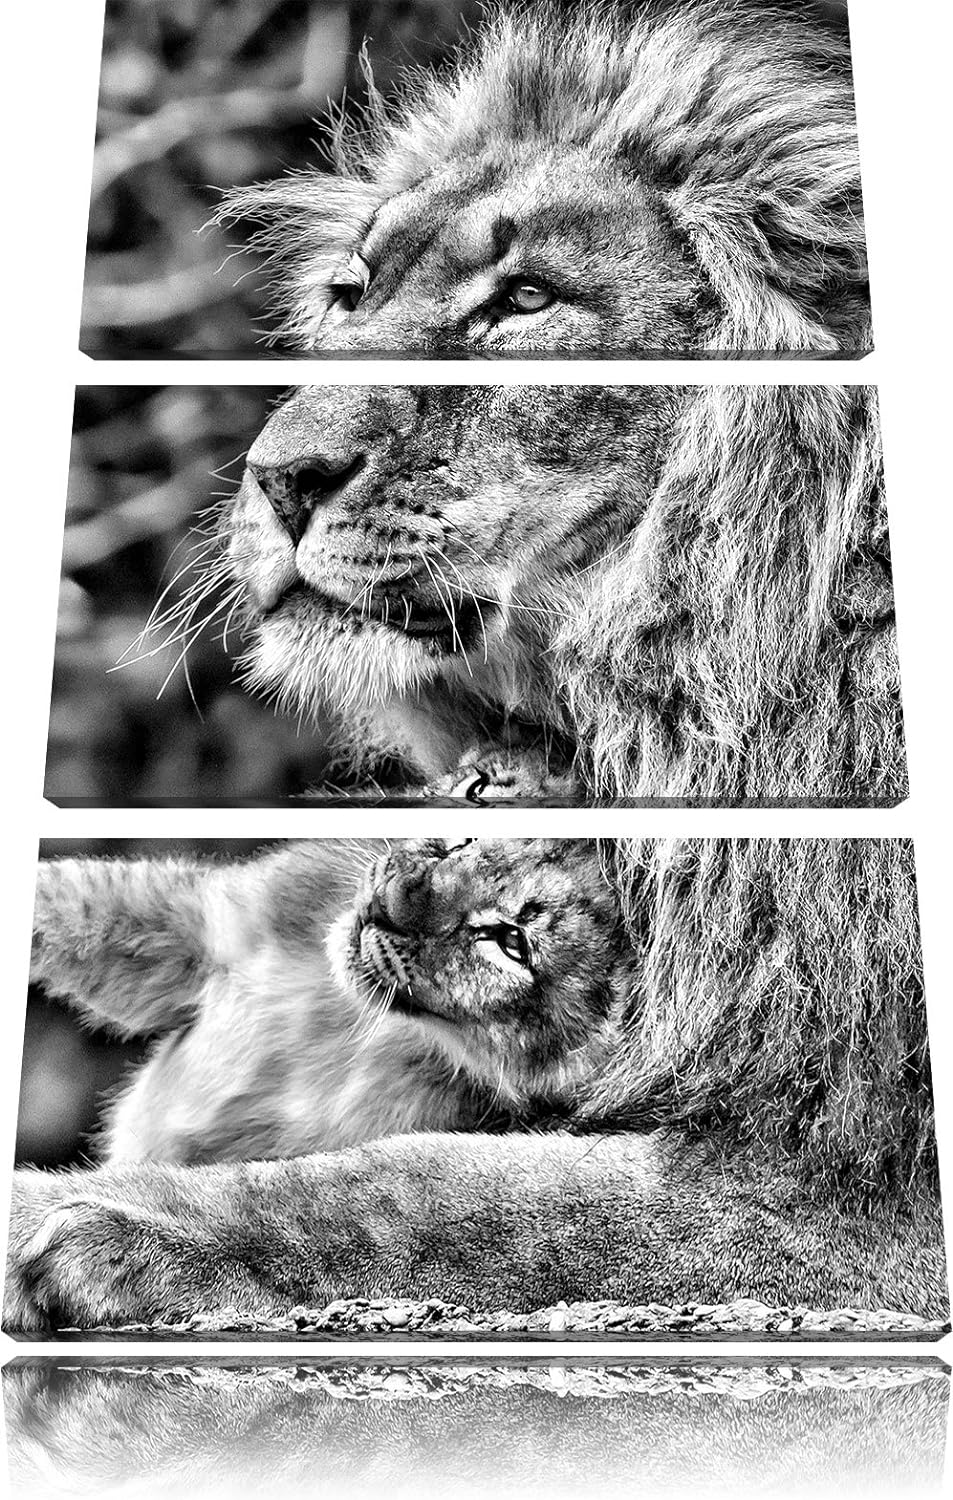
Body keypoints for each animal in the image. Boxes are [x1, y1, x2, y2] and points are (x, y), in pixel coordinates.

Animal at [5, 838, 946, 1333]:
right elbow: (70, 902)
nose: (394, 900)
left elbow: (377, 1214)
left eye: (509, 940)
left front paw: (107, 1252)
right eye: (454, 841)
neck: (352, 1022)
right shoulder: (208, 926)